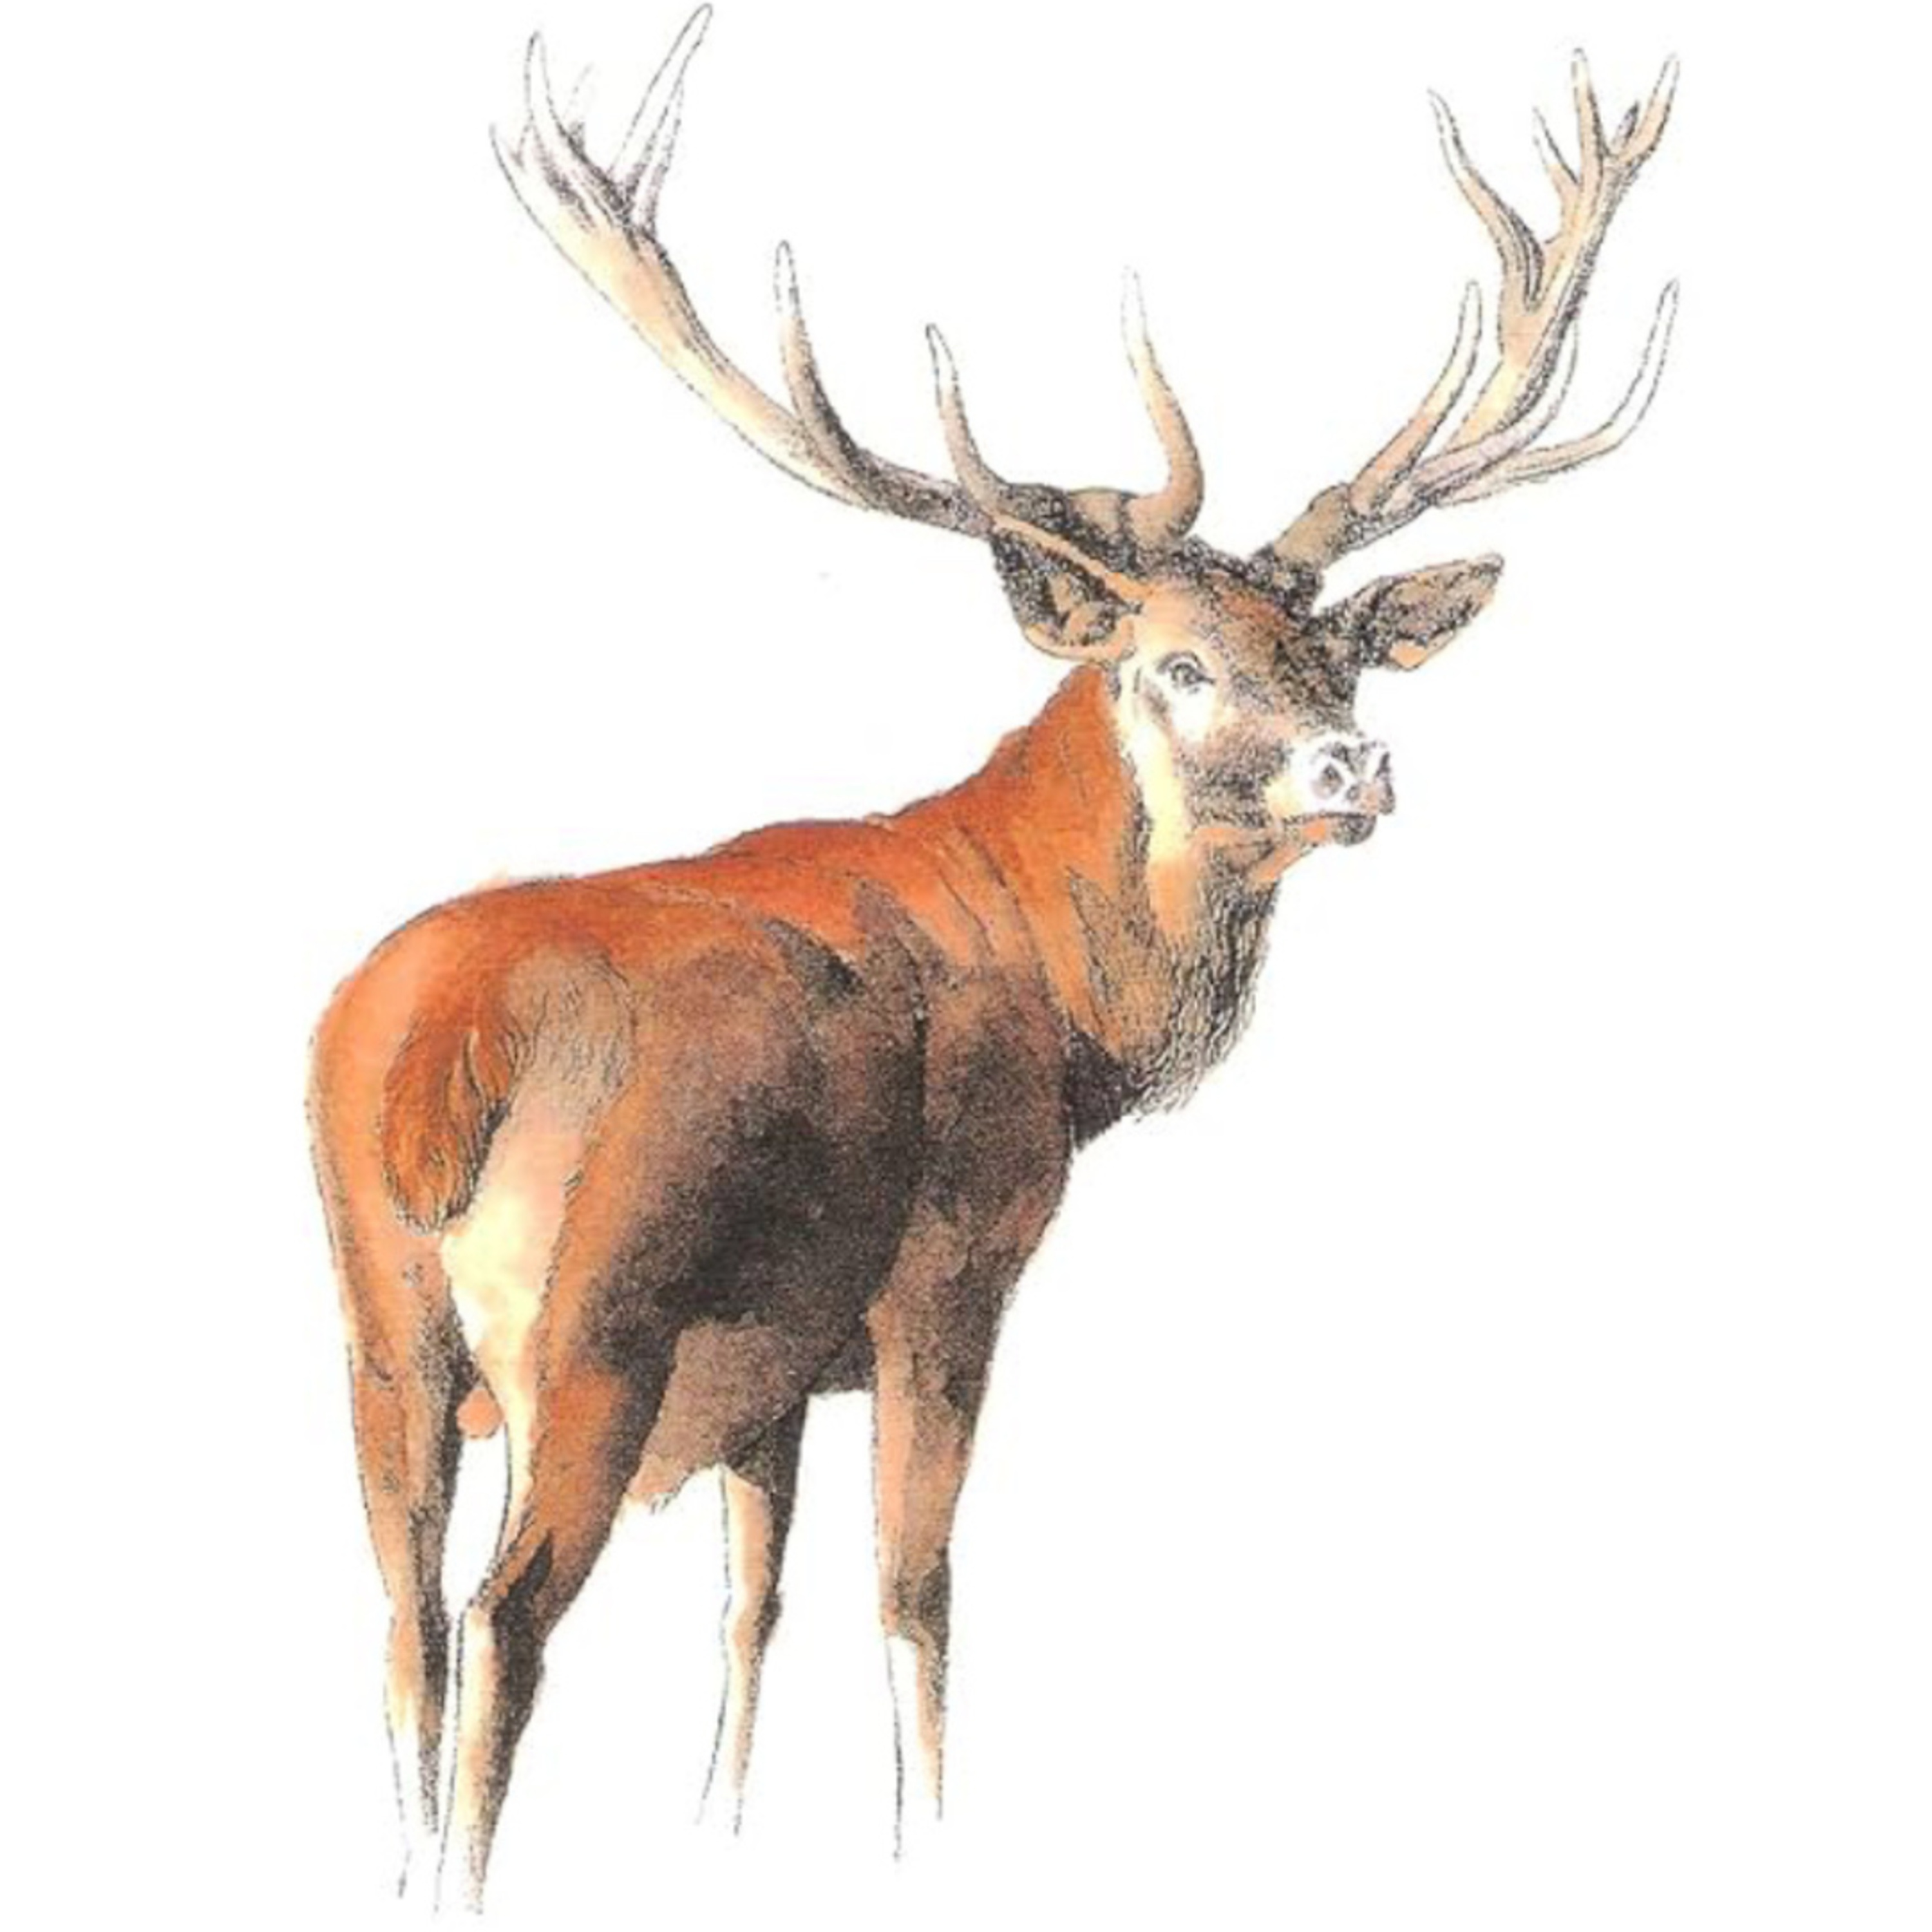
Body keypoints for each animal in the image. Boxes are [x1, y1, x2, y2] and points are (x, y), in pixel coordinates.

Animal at [308, 5, 1677, 1909]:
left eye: (1338, 656)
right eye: (1176, 662)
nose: (1358, 768)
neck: (1070, 1019)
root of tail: (435, 1046)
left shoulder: (774, 1358)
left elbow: (754, 1607)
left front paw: (724, 1833)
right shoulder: (950, 1260)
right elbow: (914, 1597)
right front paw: (926, 1840)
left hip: (377, 1323)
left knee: (403, 1620)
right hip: (593, 1315)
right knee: (508, 1618)